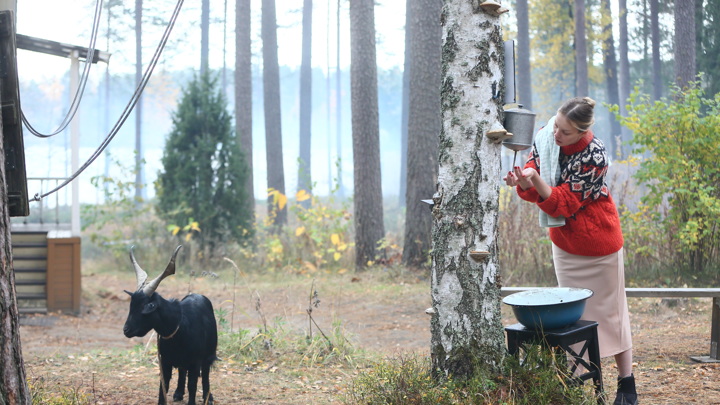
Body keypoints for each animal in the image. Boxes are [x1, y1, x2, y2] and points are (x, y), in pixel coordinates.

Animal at [122, 245, 218, 402]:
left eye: (144, 308)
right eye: (131, 306)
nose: (126, 330)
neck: (180, 328)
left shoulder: (195, 362)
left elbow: (192, 386)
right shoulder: (165, 361)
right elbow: (163, 386)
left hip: (209, 354)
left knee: (205, 373)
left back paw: (208, 397)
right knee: (182, 371)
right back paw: (178, 393)